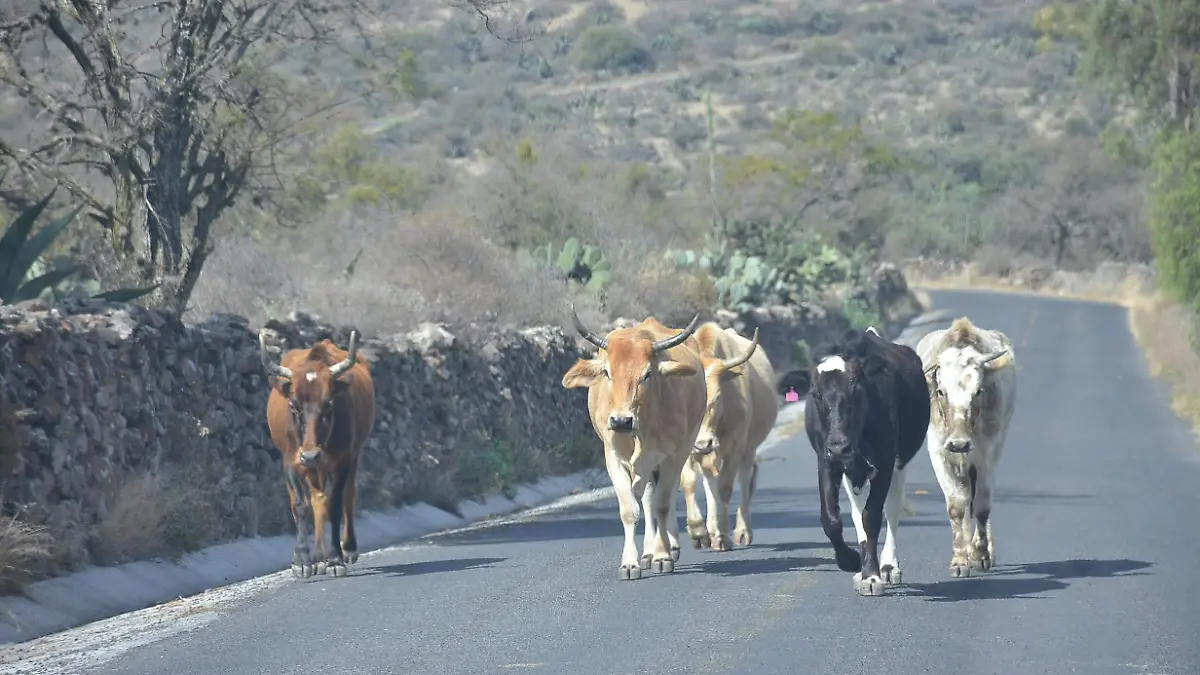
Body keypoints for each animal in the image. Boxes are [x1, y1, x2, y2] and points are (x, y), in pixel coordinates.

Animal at [259, 329, 372, 576]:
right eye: (293, 406)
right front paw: (302, 560)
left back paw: (346, 549)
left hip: (351, 456)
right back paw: (319, 557)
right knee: (317, 499)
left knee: (347, 495)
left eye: (328, 404)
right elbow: (301, 506)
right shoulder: (290, 460)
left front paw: (336, 559)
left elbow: (336, 505)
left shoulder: (343, 460)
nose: (310, 455)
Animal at [559, 307, 705, 576]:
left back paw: (669, 547)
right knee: (647, 498)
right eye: (607, 372)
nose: (621, 421)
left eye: (647, 374)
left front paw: (662, 556)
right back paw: (647, 551)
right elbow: (630, 510)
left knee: (665, 496)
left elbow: (662, 505)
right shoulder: (613, 456)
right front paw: (630, 562)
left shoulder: (673, 455)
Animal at [681, 324, 772, 550]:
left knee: (745, 479)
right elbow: (689, 482)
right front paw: (698, 531)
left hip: (748, 450)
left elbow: (725, 488)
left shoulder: (735, 447)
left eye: (717, 398)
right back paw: (711, 529)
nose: (701, 443)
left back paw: (742, 532)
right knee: (709, 479)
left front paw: (723, 536)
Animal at [801, 326, 931, 593]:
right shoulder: (826, 461)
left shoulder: (885, 462)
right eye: (816, 394)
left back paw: (888, 566)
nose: (839, 446)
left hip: (899, 464)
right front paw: (850, 561)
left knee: (891, 509)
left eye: (856, 390)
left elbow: (872, 517)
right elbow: (831, 518)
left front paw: (872, 576)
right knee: (855, 511)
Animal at [912, 317, 1017, 576]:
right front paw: (960, 560)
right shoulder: (939, 453)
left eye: (978, 391)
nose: (959, 443)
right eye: (941, 391)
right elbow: (957, 506)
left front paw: (980, 554)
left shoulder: (987, 455)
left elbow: (981, 506)